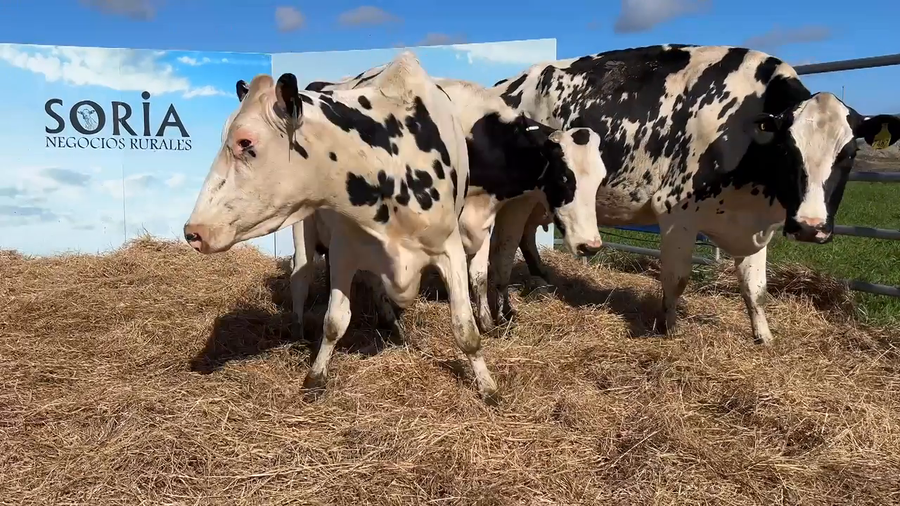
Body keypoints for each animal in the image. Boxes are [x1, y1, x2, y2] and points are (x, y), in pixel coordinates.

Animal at [183, 52, 500, 403]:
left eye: (245, 142)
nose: (192, 231)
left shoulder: (449, 248)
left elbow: (465, 328)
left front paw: (487, 385)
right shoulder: (343, 250)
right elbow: (334, 321)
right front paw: (316, 376)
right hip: (303, 228)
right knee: (301, 275)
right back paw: (299, 329)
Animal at [281, 69, 608, 337]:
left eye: (600, 179)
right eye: (564, 177)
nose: (591, 245)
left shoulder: (485, 219)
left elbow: (479, 275)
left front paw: (486, 322)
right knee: (304, 270)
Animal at [489, 44, 900, 344]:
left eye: (848, 154)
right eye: (788, 149)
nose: (810, 226)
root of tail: (506, 85)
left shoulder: (755, 222)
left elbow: (756, 288)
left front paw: (764, 336)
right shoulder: (676, 212)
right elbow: (677, 278)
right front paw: (670, 329)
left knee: (525, 238)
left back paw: (542, 281)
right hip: (520, 199)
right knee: (505, 246)